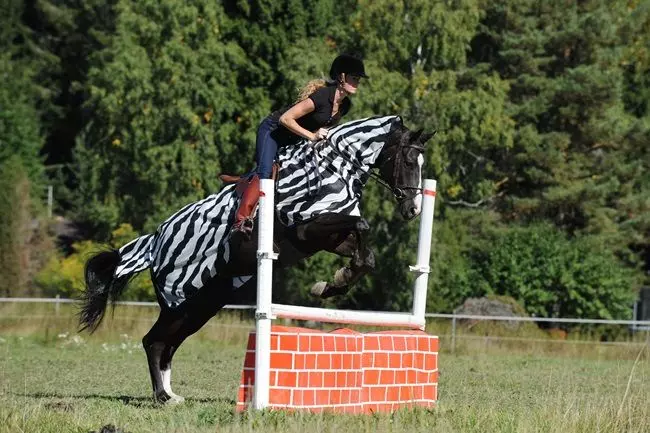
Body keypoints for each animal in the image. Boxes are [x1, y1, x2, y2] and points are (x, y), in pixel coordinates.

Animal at [78, 114, 432, 402]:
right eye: (409, 160)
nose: (413, 210)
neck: (332, 169)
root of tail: (155, 242)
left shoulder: (329, 238)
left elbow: (364, 252)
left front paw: (333, 284)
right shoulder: (306, 230)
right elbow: (362, 224)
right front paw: (332, 284)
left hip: (201, 306)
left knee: (168, 344)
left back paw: (171, 394)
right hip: (178, 302)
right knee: (153, 341)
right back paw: (162, 397)